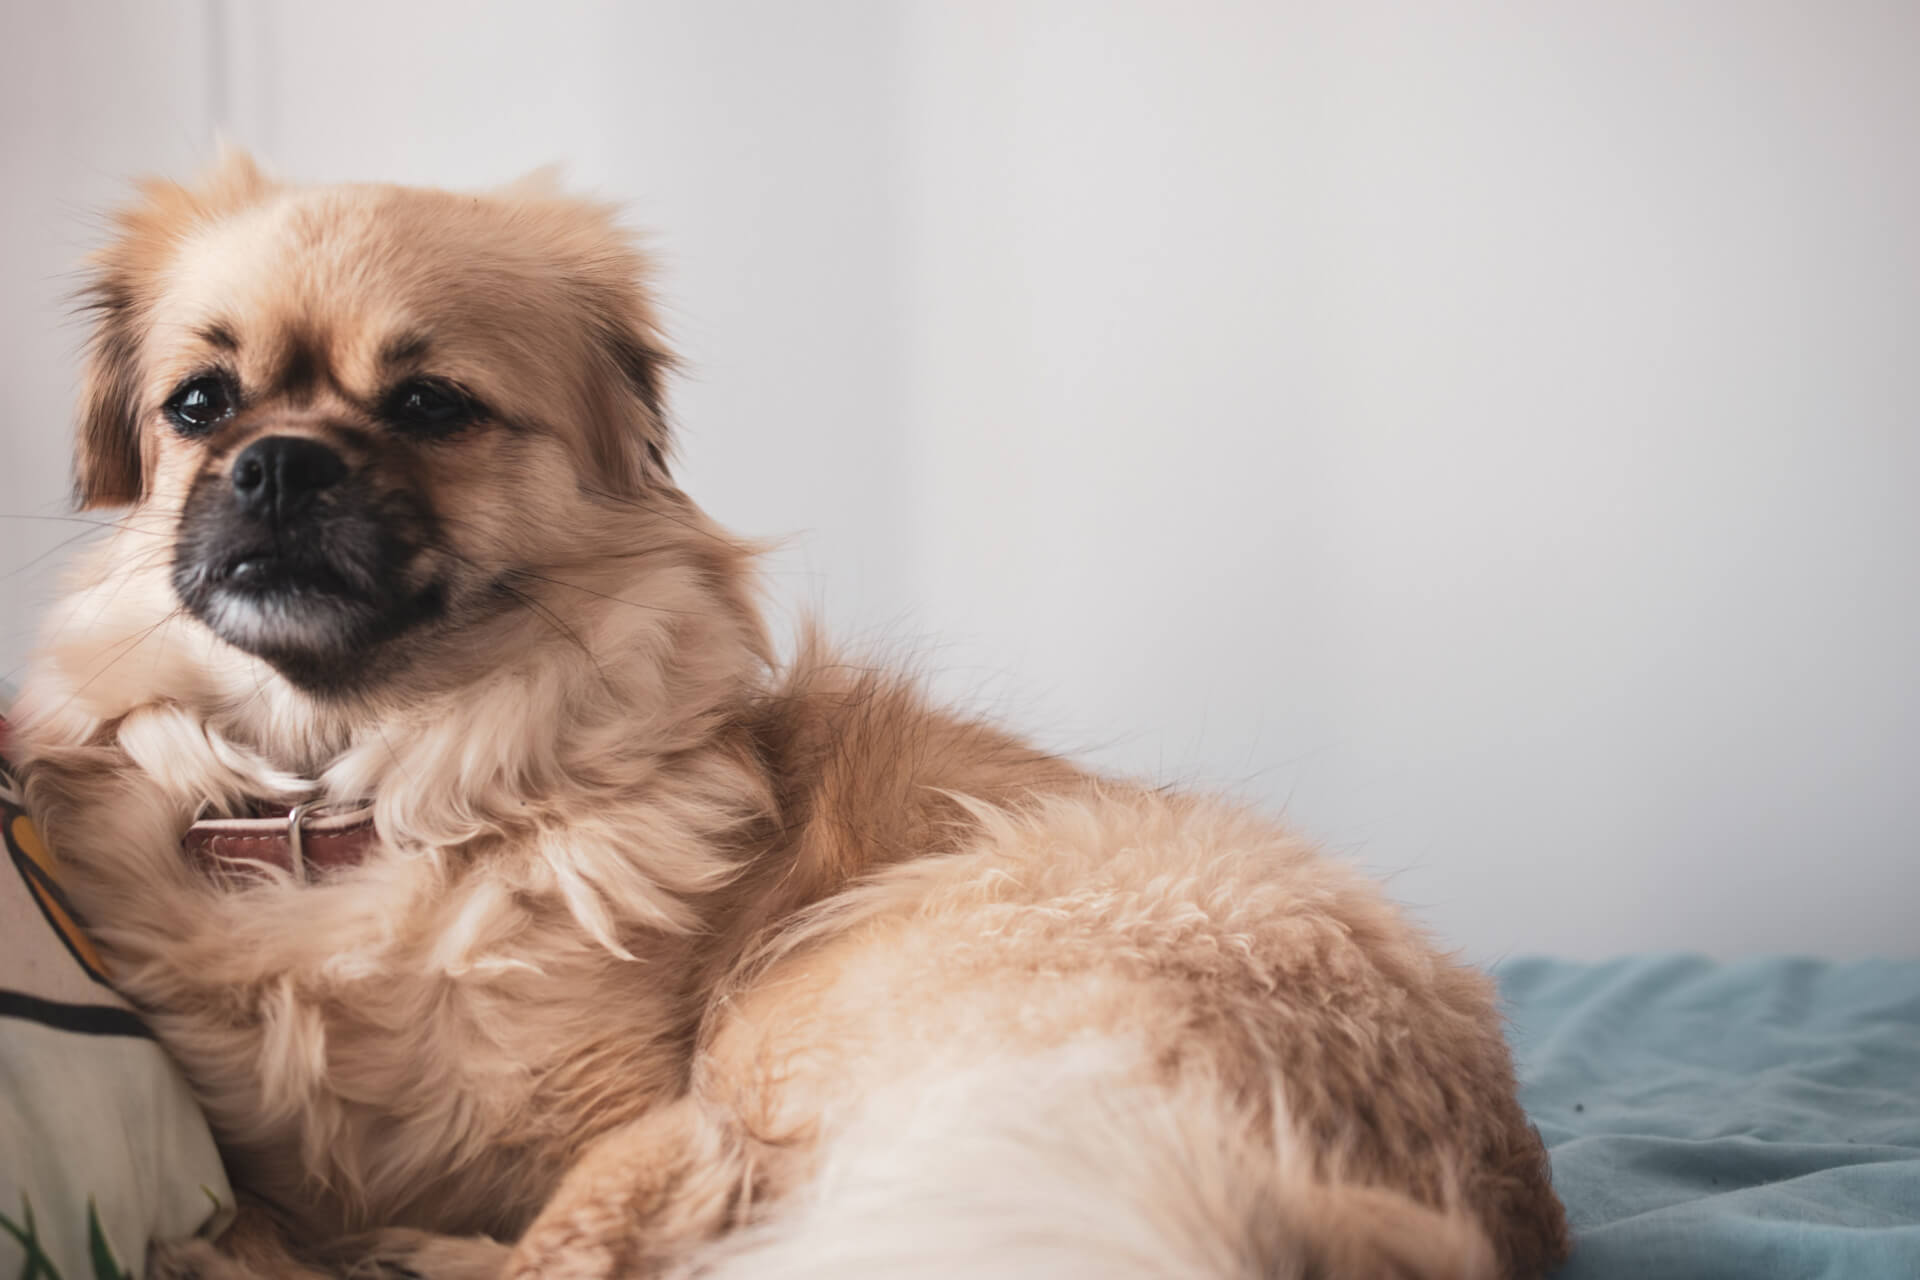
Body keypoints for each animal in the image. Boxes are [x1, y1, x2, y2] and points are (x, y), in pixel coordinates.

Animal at [15, 152, 1566, 1280]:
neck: (357, 799)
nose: (275, 465)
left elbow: (577, 1232)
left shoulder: (640, 1117)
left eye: (432, 405)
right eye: (199, 407)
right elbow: (288, 1196)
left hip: (813, 996)